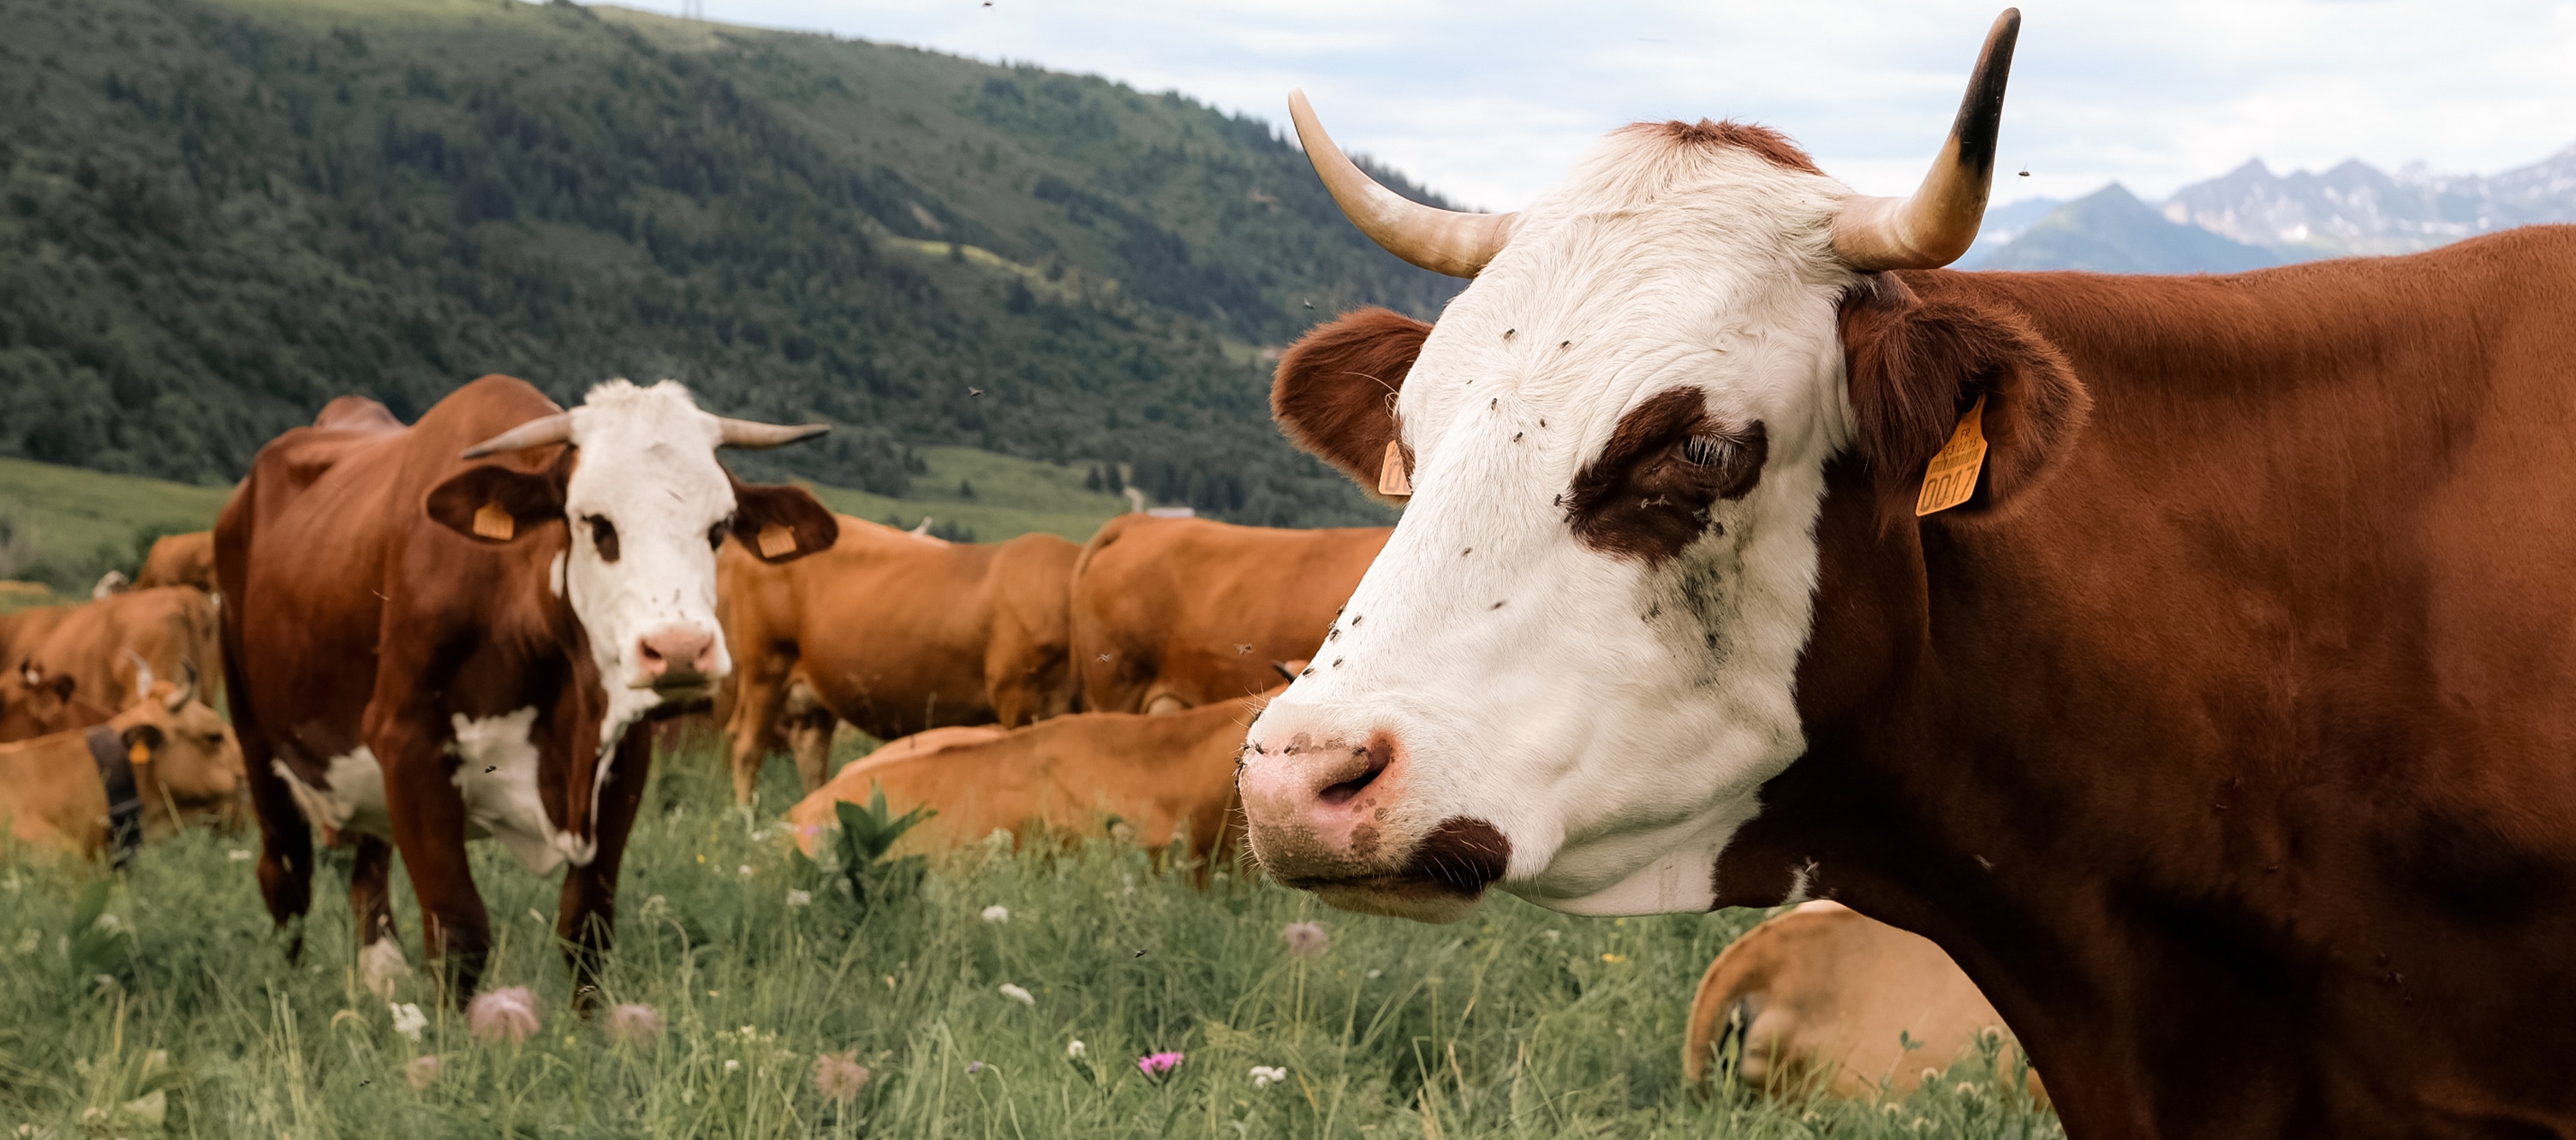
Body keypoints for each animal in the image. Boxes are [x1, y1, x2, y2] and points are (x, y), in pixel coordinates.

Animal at [219, 377, 836, 1002]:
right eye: (596, 522)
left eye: (719, 528)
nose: (681, 649)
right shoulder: (408, 746)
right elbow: (459, 931)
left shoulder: (624, 757)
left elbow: (586, 927)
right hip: (256, 740)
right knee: (285, 875)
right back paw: (288, 988)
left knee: (368, 864)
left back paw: (383, 979)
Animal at [717, 516, 1081, 803]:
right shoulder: (1023, 700)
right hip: (765, 667)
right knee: (748, 746)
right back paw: (749, 823)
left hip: (811, 690)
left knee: (810, 752)